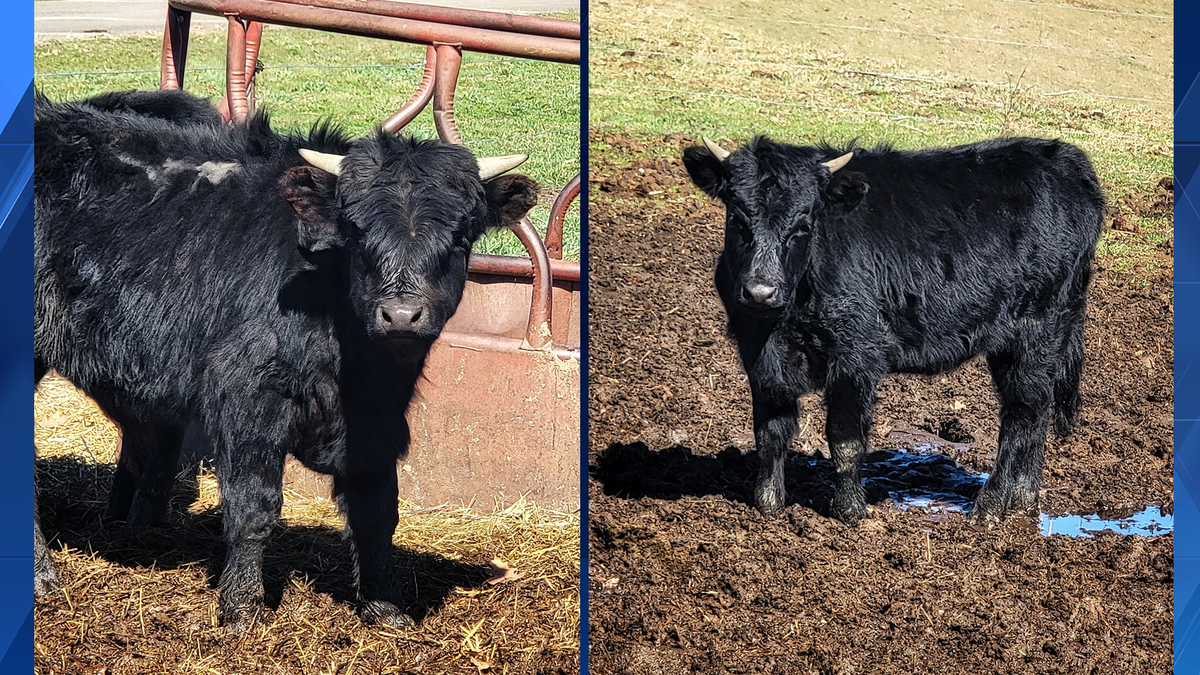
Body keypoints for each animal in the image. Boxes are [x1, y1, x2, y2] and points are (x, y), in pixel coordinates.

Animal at [33, 89, 539, 631]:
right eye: (357, 233)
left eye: (461, 235)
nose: (401, 315)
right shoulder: (248, 397)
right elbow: (255, 508)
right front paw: (242, 608)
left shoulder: (377, 422)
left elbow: (377, 511)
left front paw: (386, 607)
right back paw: (45, 578)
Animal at [683, 135, 1104, 526]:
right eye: (737, 219)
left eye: (803, 225)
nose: (760, 291)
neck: (784, 321)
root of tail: (1064, 158)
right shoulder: (759, 356)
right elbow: (770, 433)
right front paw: (768, 505)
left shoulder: (856, 354)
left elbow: (845, 438)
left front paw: (849, 511)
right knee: (1037, 412)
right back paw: (1024, 500)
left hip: (1038, 330)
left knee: (1021, 416)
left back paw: (990, 506)